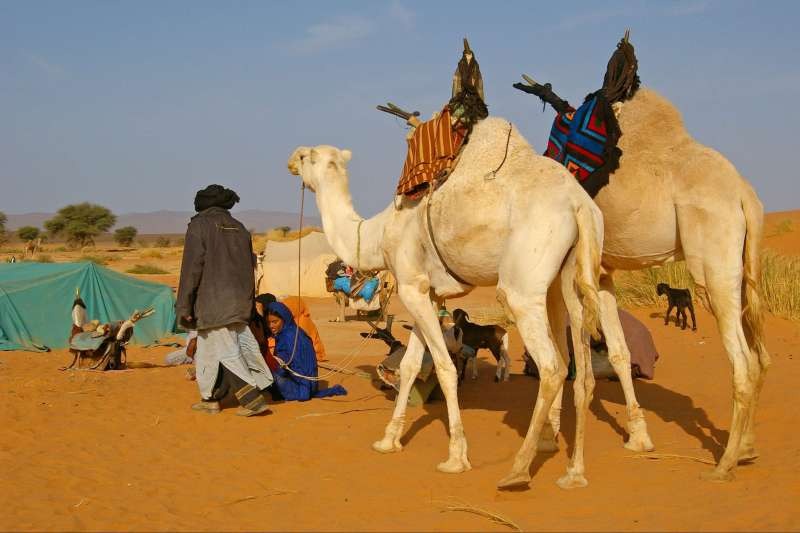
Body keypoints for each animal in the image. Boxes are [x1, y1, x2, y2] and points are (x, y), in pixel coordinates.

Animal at [288, 116, 606, 488]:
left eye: (307, 155)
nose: (290, 160)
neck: (378, 234)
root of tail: (578, 203)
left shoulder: (410, 284)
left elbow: (444, 367)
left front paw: (456, 457)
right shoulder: (424, 292)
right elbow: (410, 365)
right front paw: (388, 440)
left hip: (523, 283)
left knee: (552, 367)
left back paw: (518, 469)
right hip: (571, 275)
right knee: (580, 369)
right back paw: (573, 471)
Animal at [531, 88, 769, 482]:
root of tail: (744, 195)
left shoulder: (562, 272)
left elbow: (564, 356)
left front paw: (551, 442)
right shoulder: (603, 273)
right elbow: (618, 352)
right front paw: (639, 438)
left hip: (713, 267)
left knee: (743, 362)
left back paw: (724, 464)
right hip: (744, 264)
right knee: (759, 353)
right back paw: (747, 448)